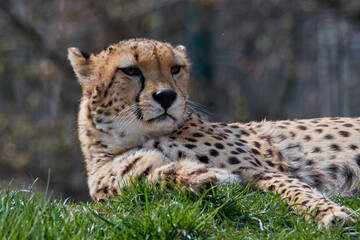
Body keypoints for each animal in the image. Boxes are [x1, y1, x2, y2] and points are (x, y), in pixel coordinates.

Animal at [69, 39, 358, 229]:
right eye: (130, 70)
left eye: (175, 68)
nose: (166, 96)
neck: (134, 135)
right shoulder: (118, 185)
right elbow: (151, 181)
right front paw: (194, 178)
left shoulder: (267, 171)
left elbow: (294, 190)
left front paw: (330, 215)